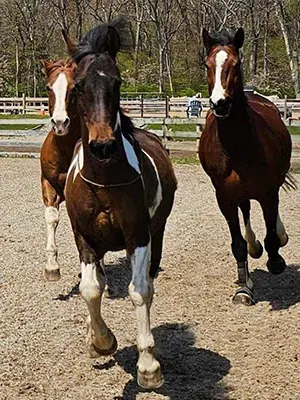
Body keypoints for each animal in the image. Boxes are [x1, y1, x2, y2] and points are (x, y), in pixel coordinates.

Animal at [62, 19, 177, 390]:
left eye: (117, 81)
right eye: (78, 85)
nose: (103, 146)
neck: (104, 180)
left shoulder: (139, 236)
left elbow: (139, 291)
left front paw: (149, 366)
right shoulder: (83, 238)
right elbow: (90, 288)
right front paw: (101, 341)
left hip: (157, 234)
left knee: (147, 283)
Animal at [198, 28, 294, 306]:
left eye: (236, 64)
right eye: (207, 64)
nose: (220, 103)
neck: (236, 146)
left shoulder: (268, 192)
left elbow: (272, 233)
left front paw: (276, 260)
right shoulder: (224, 197)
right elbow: (237, 244)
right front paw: (243, 288)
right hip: (239, 193)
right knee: (247, 211)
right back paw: (254, 247)